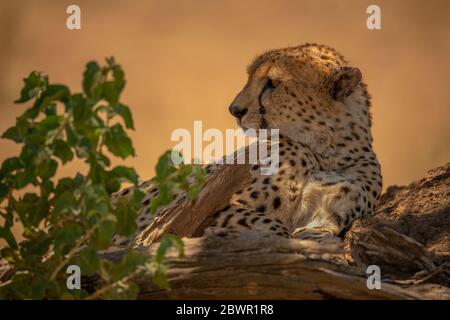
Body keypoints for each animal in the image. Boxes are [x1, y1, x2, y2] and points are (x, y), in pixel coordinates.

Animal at [110, 43, 382, 248]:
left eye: (272, 83)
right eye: (250, 78)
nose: (235, 110)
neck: (327, 149)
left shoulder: (333, 213)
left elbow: (319, 229)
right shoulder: (212, 210)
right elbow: (272, 225)